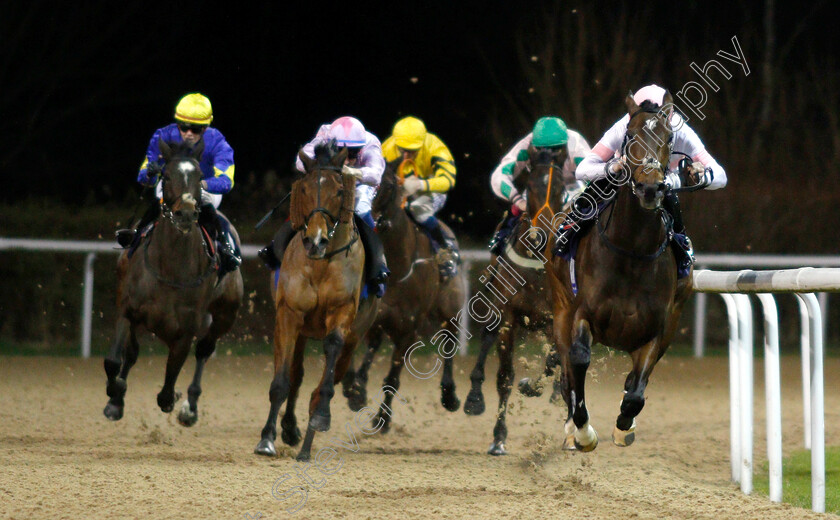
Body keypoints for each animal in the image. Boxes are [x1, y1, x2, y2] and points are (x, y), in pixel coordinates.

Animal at [103, 139, 244, 426]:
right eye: (166, 175)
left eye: (200, 176)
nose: (185, 214)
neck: (170, 267)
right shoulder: (127, 309)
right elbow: (114, 360)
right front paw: (115, 394)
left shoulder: (185, 331)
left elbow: (167, 390)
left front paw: (176, 399)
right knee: (131, 353)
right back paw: (117, 400)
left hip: (225, 314)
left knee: (204, 350)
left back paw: (190, 407)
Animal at [253, 141, 378, 460]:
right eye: (306, 188)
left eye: (339, 190)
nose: (316, 240)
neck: (321, 263)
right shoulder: (289, 315)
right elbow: (283, 381)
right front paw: (267, 439)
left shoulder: (342, 315)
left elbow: (325, 379)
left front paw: (320, 418)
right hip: (298, 332)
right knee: (296, 375)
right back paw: (290, 429)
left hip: (354, 338)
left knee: (325, 382)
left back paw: (307, 443)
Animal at [340, 157, 466, 430]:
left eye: (388, 185)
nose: (364, 217)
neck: (396, 268)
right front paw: (354, 391)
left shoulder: (409, 329)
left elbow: (393, 379)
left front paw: (382, 419)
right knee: (373, 345)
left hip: (450, 309)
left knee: (450, 343)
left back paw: (450, 395)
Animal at [460, 143, 576, 456]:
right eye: (530, 185)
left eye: (561, 187)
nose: (542, 234)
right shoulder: (508, 318)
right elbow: (505, 377)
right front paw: (499, 438)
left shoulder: (558, 319)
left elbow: (554, 365)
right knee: (485, 339)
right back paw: (474, 397)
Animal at [544, 92, 688, 450]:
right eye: (631, 136)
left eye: (668, 139)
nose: (651, 188)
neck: (632, 251)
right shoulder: (583, 313)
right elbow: (579, 360)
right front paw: (583, 430)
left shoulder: (656, 331)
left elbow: (636, 390)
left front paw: (624, 425)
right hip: (560, 308)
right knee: (566, 369)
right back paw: (572, 427)